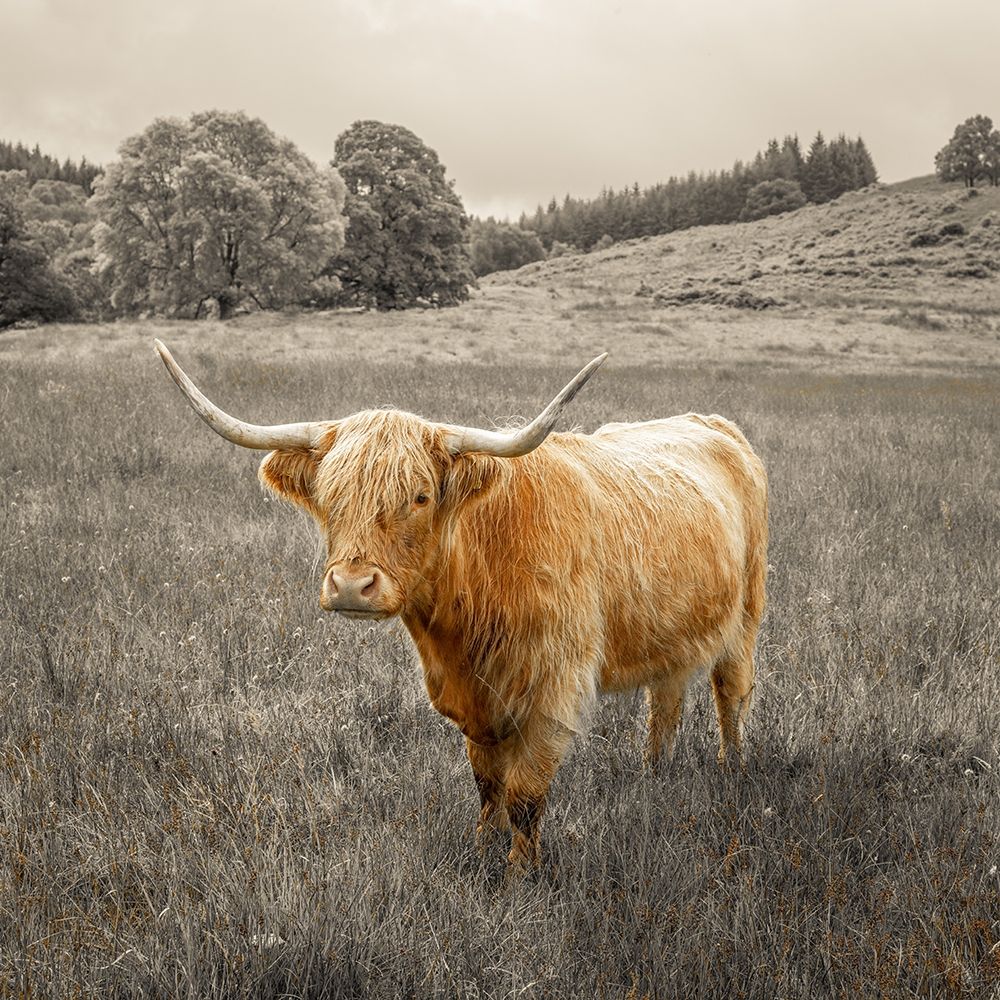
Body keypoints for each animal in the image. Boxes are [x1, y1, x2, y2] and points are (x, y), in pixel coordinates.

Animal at [155, 341, 768, 869]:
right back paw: (652, 777)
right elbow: (487, 784)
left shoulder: (554, 691)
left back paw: (732, 771)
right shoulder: (474, 700)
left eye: (421, 496)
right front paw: (481, 850)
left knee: (730, 692)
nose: (351, 586)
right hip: (672, 629)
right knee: (665, 702)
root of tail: (710, 423)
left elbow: (524, 796)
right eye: (329, 498)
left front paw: (521, 876)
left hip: (746, 614)